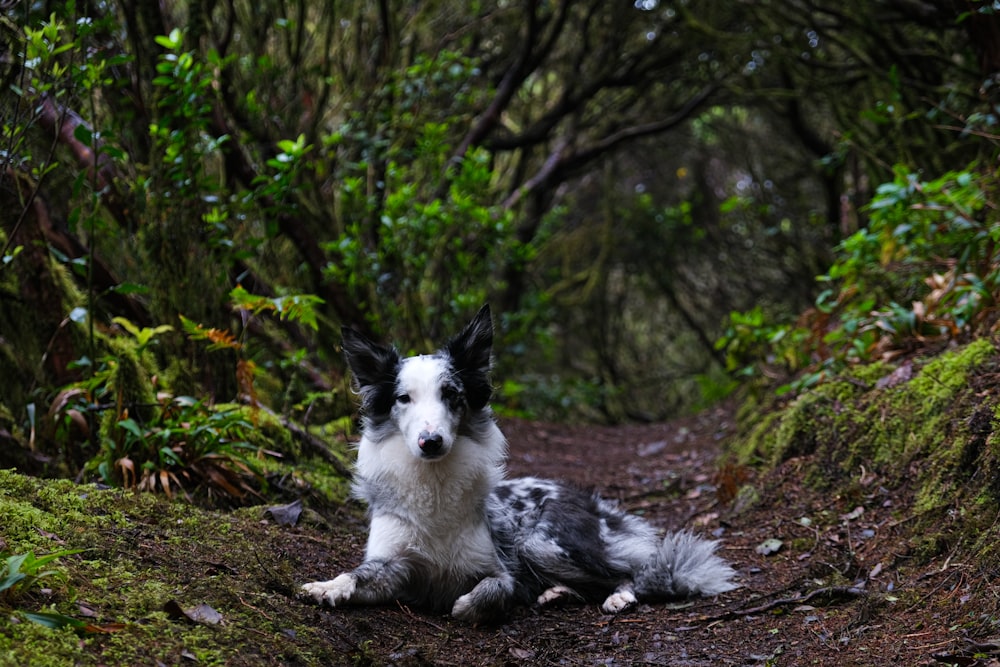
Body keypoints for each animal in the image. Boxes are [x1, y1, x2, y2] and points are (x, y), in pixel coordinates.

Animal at [300, 306, 740, 624]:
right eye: (403, 399)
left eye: (450, 394)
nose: (431, 442)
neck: (434, 482)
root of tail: (590, 500)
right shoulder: (392, 564)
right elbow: (358, 574)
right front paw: (327, 586)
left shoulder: (500, 568)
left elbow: (492, 591)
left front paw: (466, 607)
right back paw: (557, 592)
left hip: (540, 542)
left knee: (633, 573)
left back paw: (617, 595)